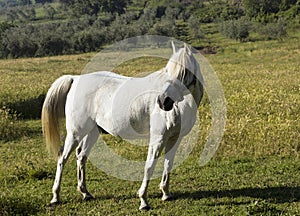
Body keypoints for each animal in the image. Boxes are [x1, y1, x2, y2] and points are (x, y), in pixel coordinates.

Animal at [41, 41, 204, 210]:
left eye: (185, 72)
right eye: (167, 71)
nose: (163, 101)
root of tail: (76, 78)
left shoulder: (174, 139)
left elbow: (168, 164)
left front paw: (166, 194)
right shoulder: (158, 139)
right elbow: (149, 166)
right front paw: (143, 200)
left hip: (92, 132)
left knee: (81, 156)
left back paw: (85, 193)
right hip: (75, 132)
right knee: (62, 158)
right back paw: (55, 197)